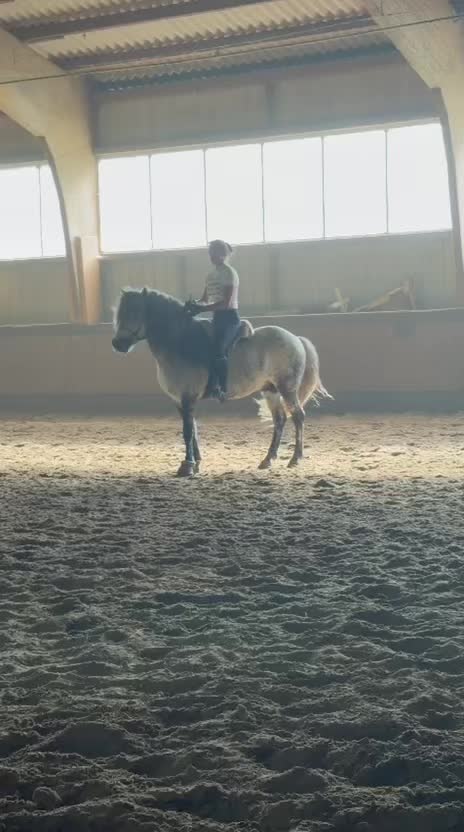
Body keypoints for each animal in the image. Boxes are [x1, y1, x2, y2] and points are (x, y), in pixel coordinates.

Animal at [112, 288, 331, 476]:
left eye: (134, 312)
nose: (117, 344)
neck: (180, 343)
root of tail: (295, 338)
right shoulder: (179, 401)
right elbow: (193, 429)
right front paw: (196, 463)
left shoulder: (188, 397)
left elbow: (187, 431)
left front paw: (187, 466)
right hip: (271, 390)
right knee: (280, 420)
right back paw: (268, 460)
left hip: (287, 388)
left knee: (298, 417)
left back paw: (295, 459)